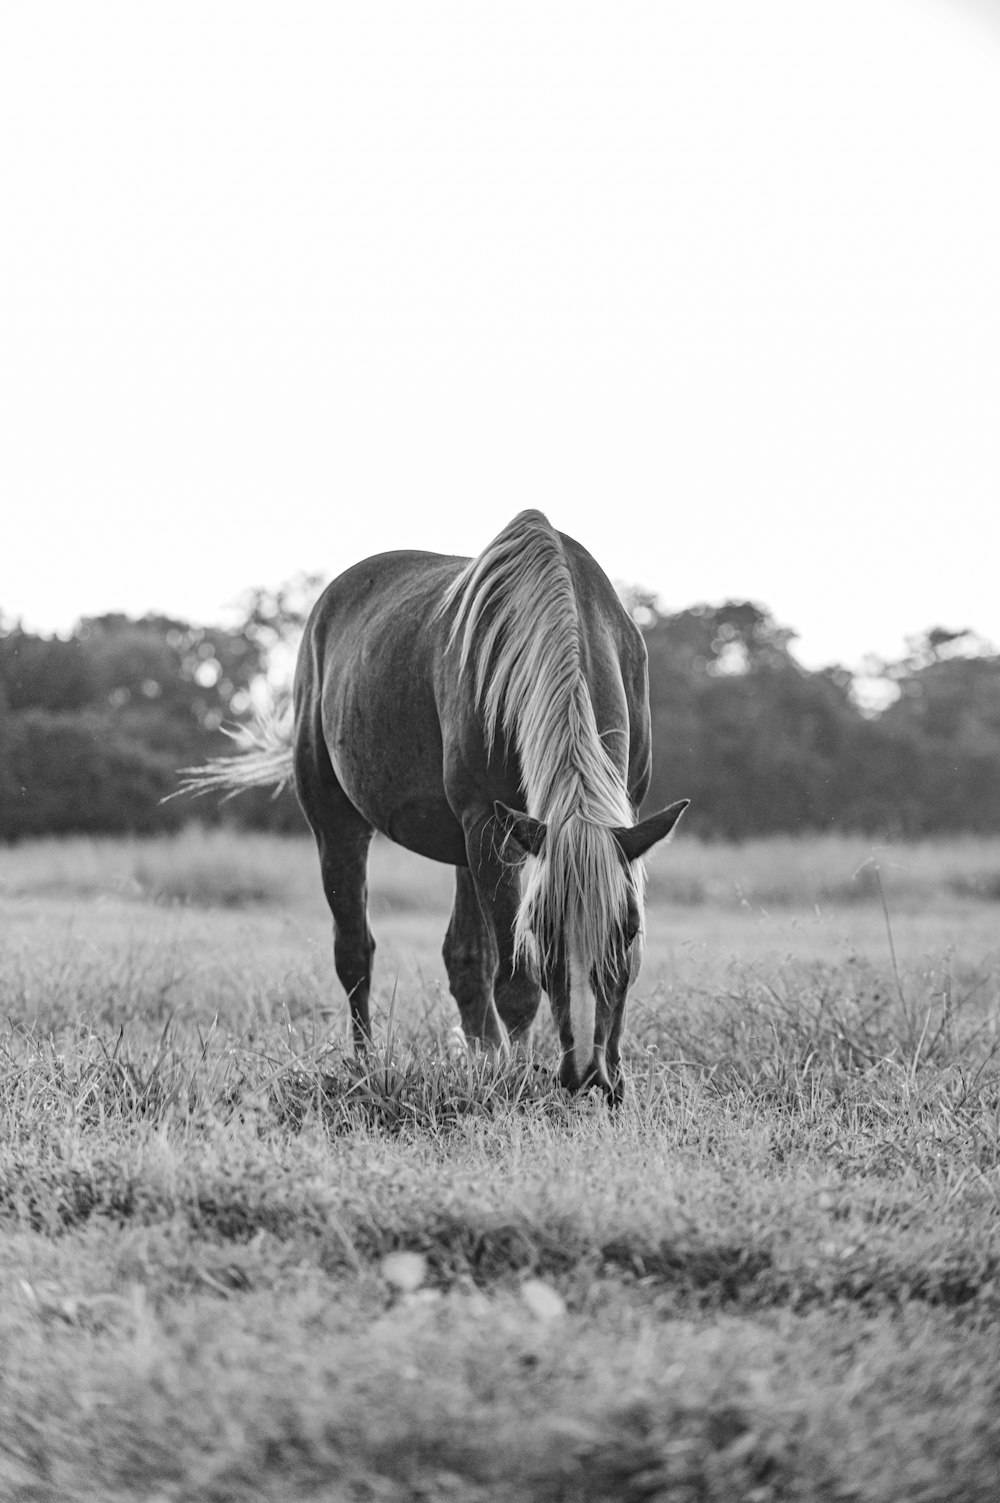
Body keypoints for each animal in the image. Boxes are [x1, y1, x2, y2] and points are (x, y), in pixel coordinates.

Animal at [184, 511, 685, 1100]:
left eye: (626, 929)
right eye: (541, 930)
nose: (585, 1076)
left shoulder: (611, 819)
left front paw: (614, 1077)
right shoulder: (487, 825)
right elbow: (515, 982)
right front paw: (520, 1082)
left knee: (465, 959)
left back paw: (482, 1060)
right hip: (343, 824)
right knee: (355, 952)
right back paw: (365, 1067)